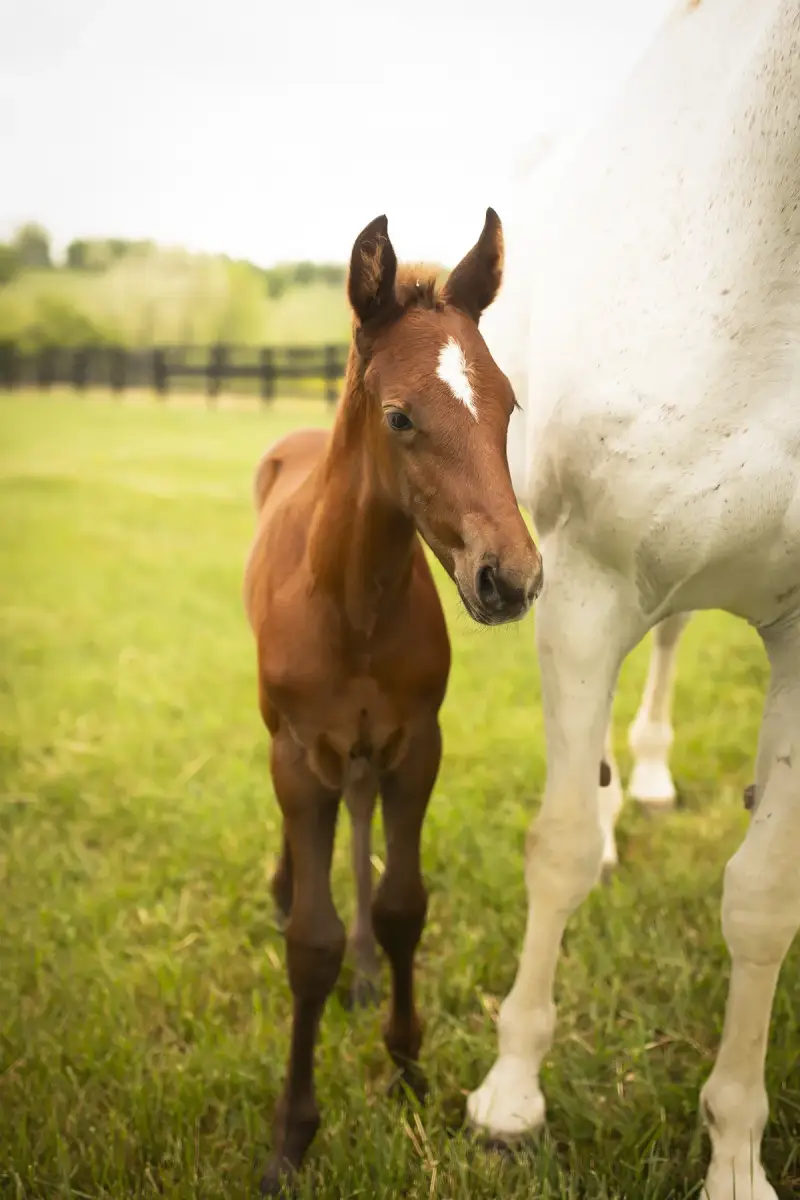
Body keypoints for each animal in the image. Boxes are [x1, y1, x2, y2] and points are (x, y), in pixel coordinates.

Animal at [243, 210, 542, 1194]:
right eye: (401, 416)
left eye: (508, 405)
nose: (511, 578)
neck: (354, 600)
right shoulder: (300, 753)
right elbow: (311, 944)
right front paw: (291, 1136)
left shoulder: (417, 744)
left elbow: (404, 903)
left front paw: (407, 1063)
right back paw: (284, 885)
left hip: (371, 751)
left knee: (363, 814)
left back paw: (370, 973)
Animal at [466, 3, 800, 1197]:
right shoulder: (584, 589)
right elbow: (557, 847)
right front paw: (510, 1095)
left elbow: (762, 899)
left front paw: (736, 1156)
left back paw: (644, 777)